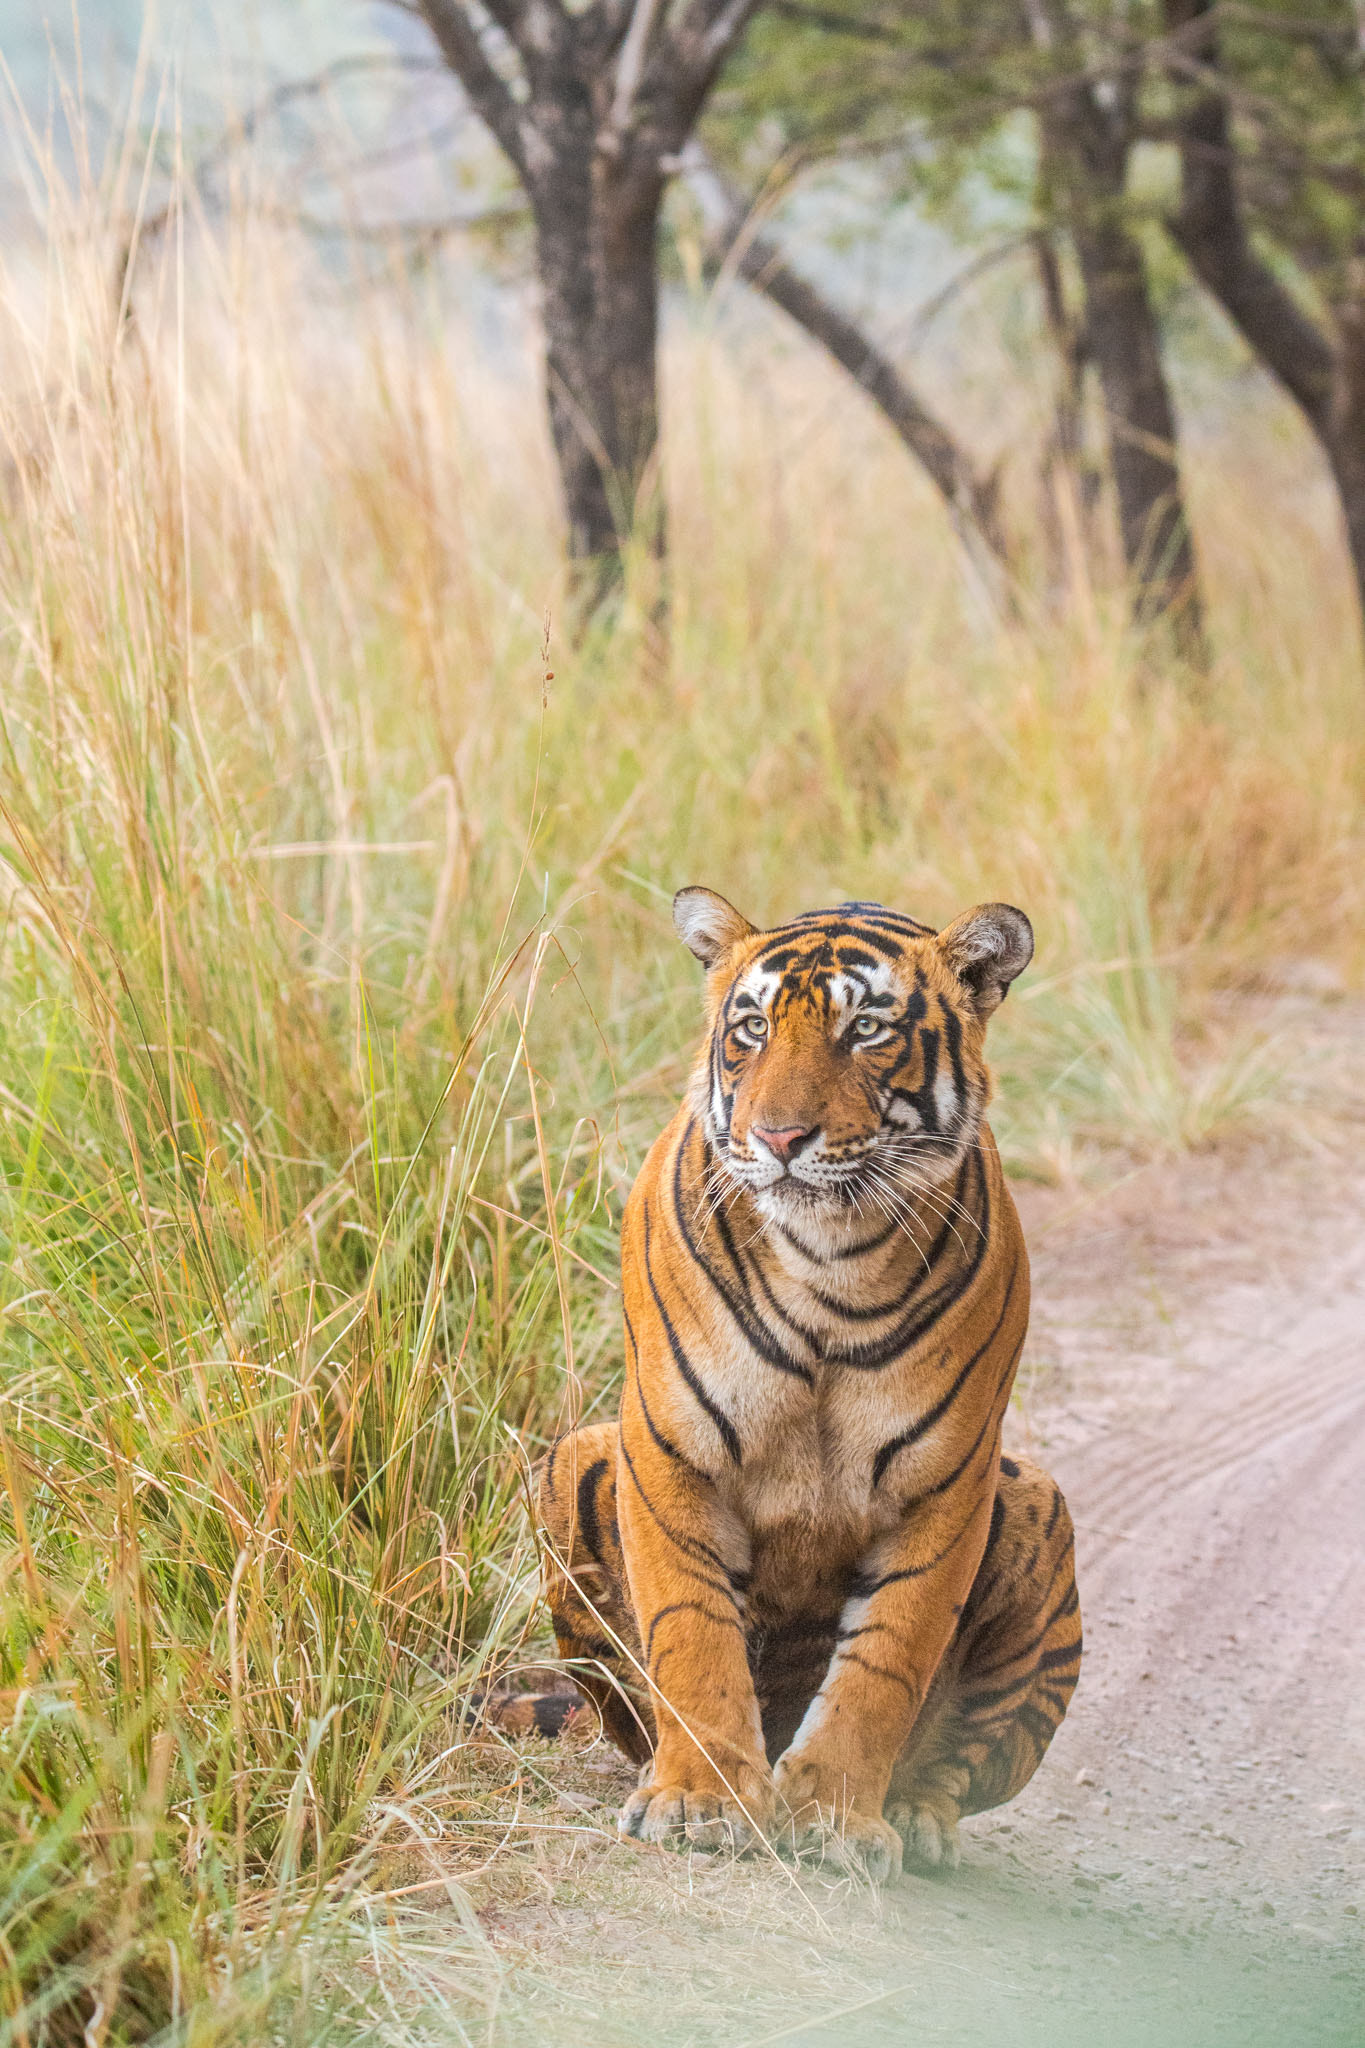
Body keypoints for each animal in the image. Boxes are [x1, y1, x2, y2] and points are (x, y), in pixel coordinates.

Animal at [532, 888, 1080, 1875]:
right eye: (750, 1027)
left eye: (863, 1029)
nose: (778, 1137)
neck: (833, 1260)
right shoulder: (670, 1451)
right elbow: (692, 1631)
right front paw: (700, 1800)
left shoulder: (946, 1486)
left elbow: (884, 1662)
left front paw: (832, 1817)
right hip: (577, 1456)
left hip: (1036, 1502)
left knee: (953, 1768)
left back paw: (914, 1820)